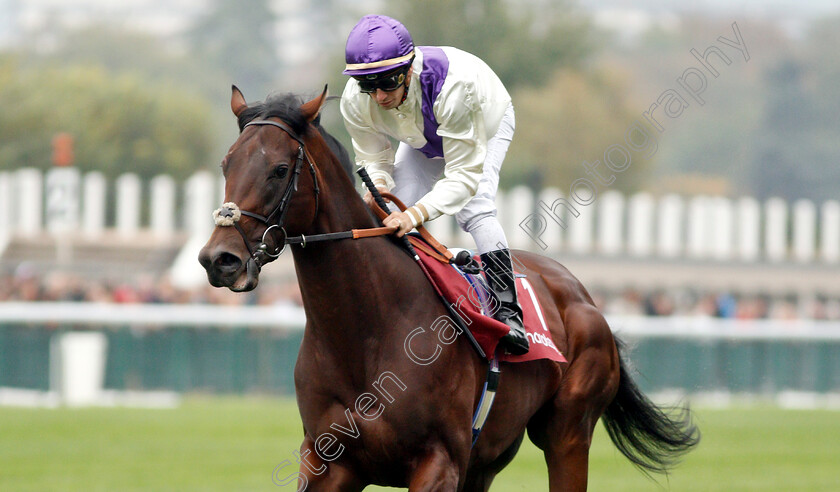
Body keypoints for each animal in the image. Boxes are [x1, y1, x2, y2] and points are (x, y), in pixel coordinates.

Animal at [200, 86, 700, 490]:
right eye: (226, 163)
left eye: (280, 169)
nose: (219, 259)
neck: (367, 332)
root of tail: (582, 295)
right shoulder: (328, 462)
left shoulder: (439, 463)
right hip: (488, 459)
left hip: (568, 433)